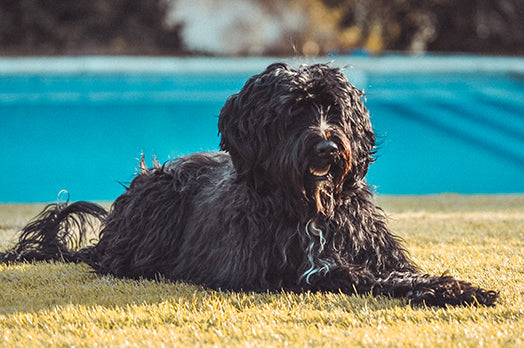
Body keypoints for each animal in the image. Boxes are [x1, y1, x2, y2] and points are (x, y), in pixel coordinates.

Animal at [1, 64, 500, 306]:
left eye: (334, 111)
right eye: (293, 111)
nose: (326, 147)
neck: (310, 207)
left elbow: (403, 272)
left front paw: (456, 287)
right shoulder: (287, 270)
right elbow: (358, 275)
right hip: (159, 198)